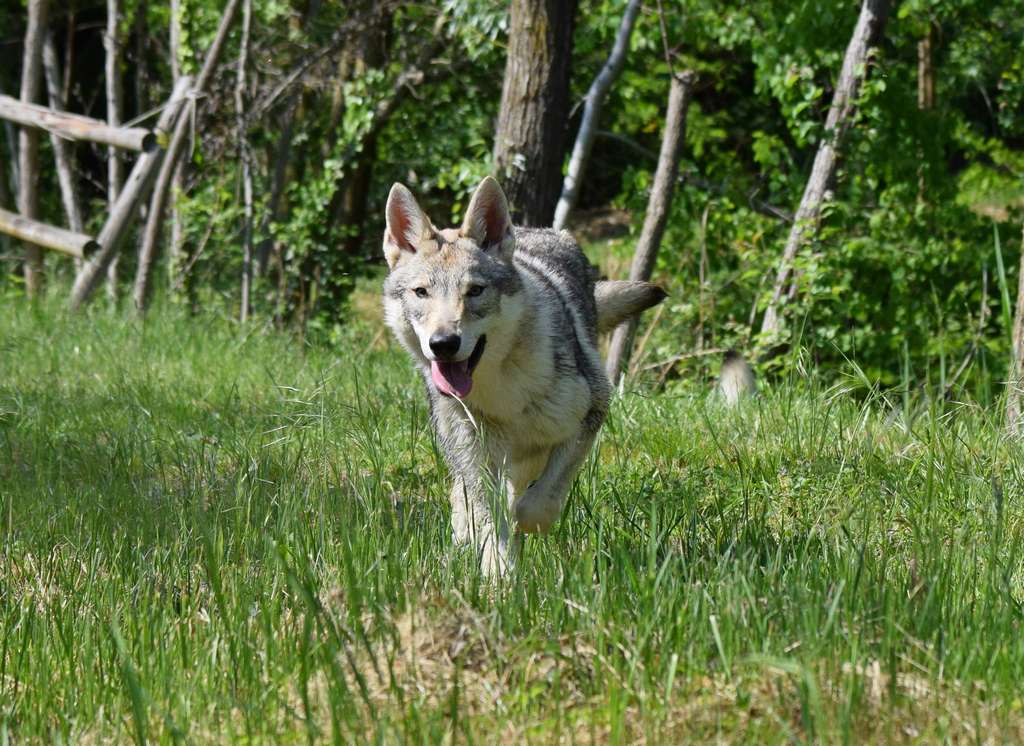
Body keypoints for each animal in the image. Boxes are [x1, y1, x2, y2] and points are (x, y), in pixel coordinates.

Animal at [382, 177, 665, 574]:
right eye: (421, 292)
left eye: (475, 290)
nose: (443, 344)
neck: (501, 390)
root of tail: (540, 230)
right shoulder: (477, 461)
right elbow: (489, 521)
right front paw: (498, 578)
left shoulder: (590, 415)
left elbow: (537, 506)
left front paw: (519, 529)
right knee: (466, 496)